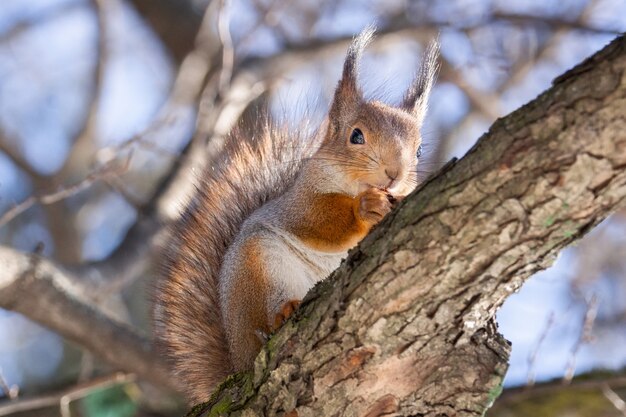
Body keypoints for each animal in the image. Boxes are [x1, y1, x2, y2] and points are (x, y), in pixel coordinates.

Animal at [155, 28, 438, 404]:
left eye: (419, 150)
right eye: (356, 135)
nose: (394, 174)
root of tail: (236, 358)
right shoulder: (299, 202)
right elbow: (318, 222)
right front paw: (364, 208)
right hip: (258, 269)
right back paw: (282, 314)